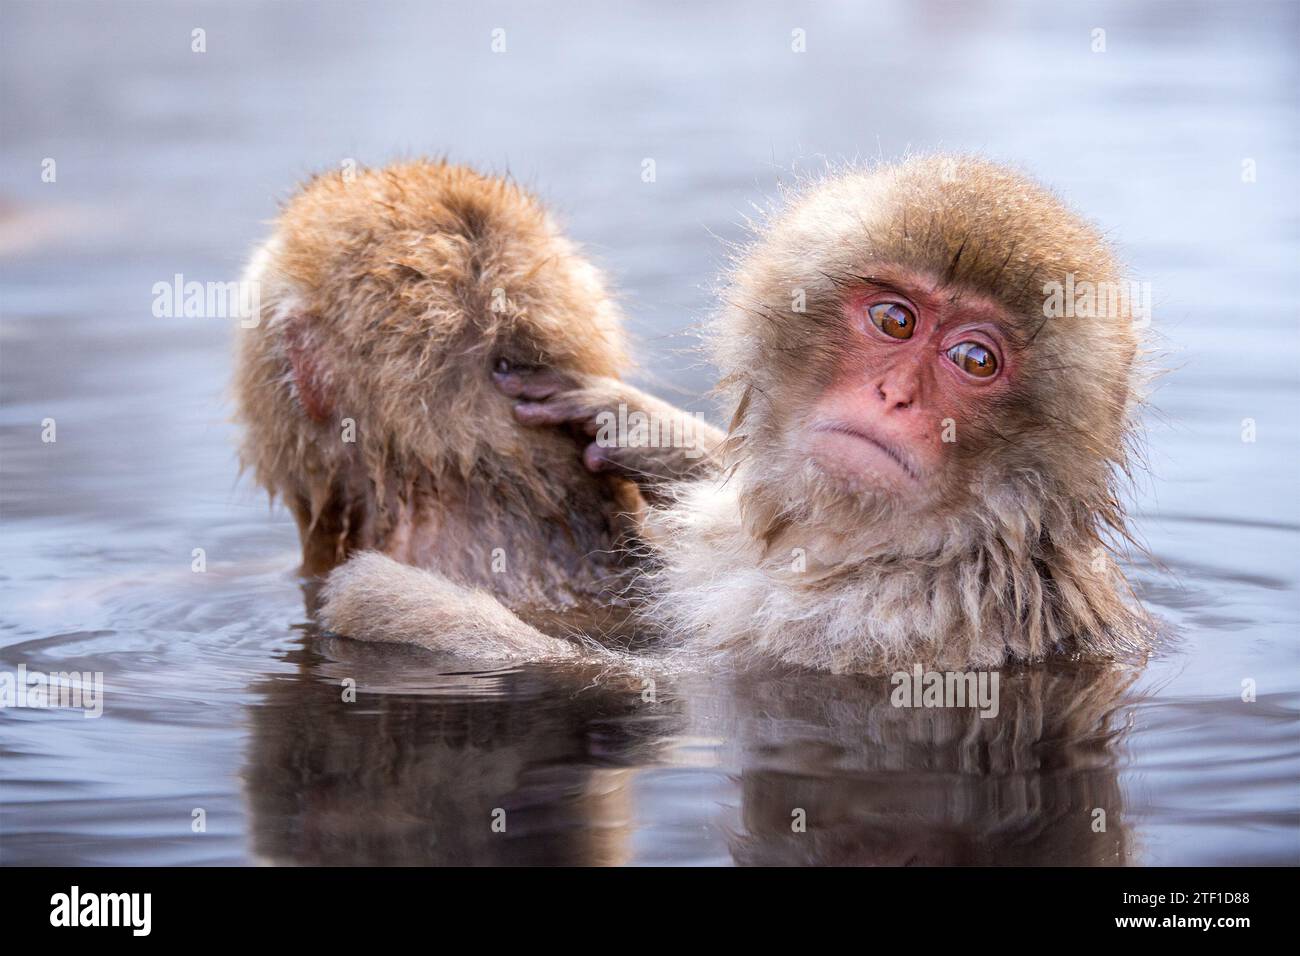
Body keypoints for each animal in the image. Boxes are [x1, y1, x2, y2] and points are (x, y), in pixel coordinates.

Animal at [233, 157, 1149, 676]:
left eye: (975, 361)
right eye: (895, 320)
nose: (897, 396)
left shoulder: (911, 617)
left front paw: (395, 603)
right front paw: (641, 425)